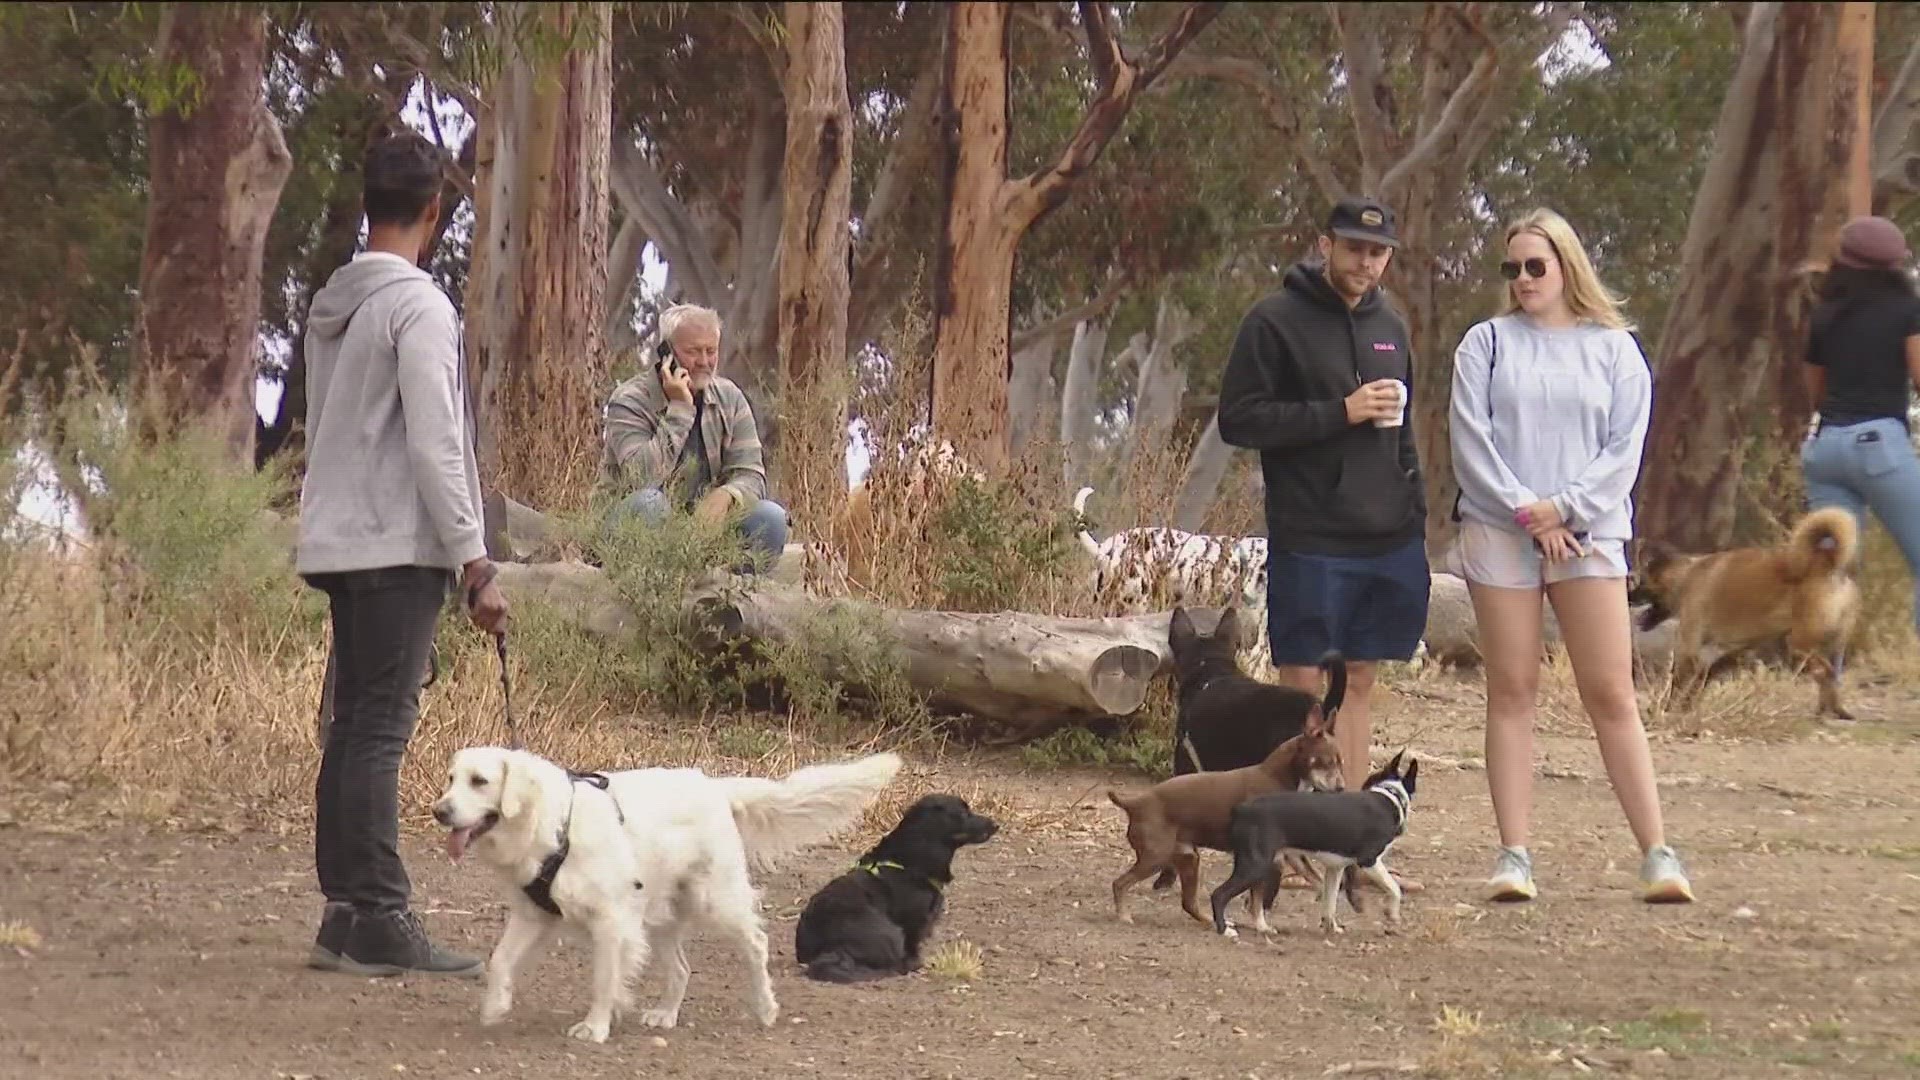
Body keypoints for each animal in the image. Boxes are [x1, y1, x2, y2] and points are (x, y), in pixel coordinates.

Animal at [439, 745, 902, 1037]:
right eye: (451, 779)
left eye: (480, 781)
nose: (438, 811)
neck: (555, 825)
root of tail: (715, 785)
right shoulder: (533, 914)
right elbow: (500, 960)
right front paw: (495, 1006)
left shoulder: (612, 922)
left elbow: (603, 979)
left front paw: (596, 1026)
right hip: (659, 916)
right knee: (680, 969)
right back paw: (665, 1014)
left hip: (716, 901)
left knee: (756, 944)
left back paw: (765, 1007)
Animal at [794, 787, 1006, 980]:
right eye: (963, 814)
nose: (996, 825)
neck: (908, 862)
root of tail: (825, 947)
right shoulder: (914, 922)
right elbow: (912, 949)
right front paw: (916, 964)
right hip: (891, 933)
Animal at [1105, 711, 1344, 930]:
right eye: (1327, 762)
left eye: (1341, 763)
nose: (1342, 787)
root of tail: (1135, 803)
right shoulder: (1266, 859)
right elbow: (1258, 898)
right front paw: (1262, 926)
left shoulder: (1288, 855)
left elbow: (1318, 884)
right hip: (1156, 858)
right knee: (1120, 883)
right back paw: (1124, 916)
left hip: (1189, 859)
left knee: (1189, 903)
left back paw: (1215, 922)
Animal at [1205, 749, 1420, 933]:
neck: (1390, 795)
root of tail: (1241, 809)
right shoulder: (1369, 860)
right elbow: (1394, 887)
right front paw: (1392, 914)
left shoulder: (1335, 869)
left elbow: (1330, 901)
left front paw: (1331, 928)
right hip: (1256, 865)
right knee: (1219, 894)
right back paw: (1225, 930)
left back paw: (1260, 927)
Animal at [1628, 503, 1866, 714]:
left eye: (1642, 583)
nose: (1628, 597)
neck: (1686, 575)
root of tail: (1827, 564)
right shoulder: (1728, 653)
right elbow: (1699, 683)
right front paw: (1688, 709)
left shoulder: (1689, 649)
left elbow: (1679, 685)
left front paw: (1669, 709)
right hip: (1828, 646)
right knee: (1830, 674)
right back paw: (1834, 710)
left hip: (1800, 645)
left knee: (1826, 671)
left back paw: (1831, 709)